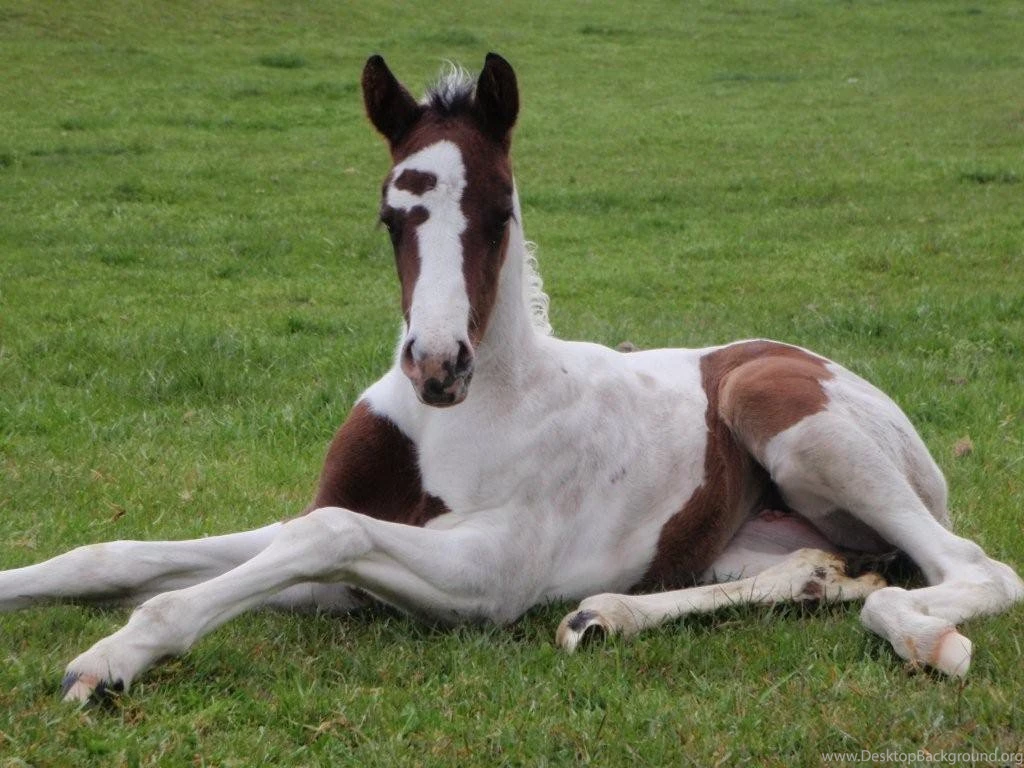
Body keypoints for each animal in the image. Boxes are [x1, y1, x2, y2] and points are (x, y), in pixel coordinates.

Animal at [1, 53, 1021, 705]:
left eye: (499, 209)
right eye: (390, 215)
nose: (437, 364)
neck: (460, 419)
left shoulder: (488, 575)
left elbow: (325, 535)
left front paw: (112, 658)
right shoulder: (334, 545)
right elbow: (125, 555)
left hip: (782, 410)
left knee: (965, 568)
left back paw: (923, 634)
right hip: (750, 539)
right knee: (827, 571)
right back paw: (613, 615)